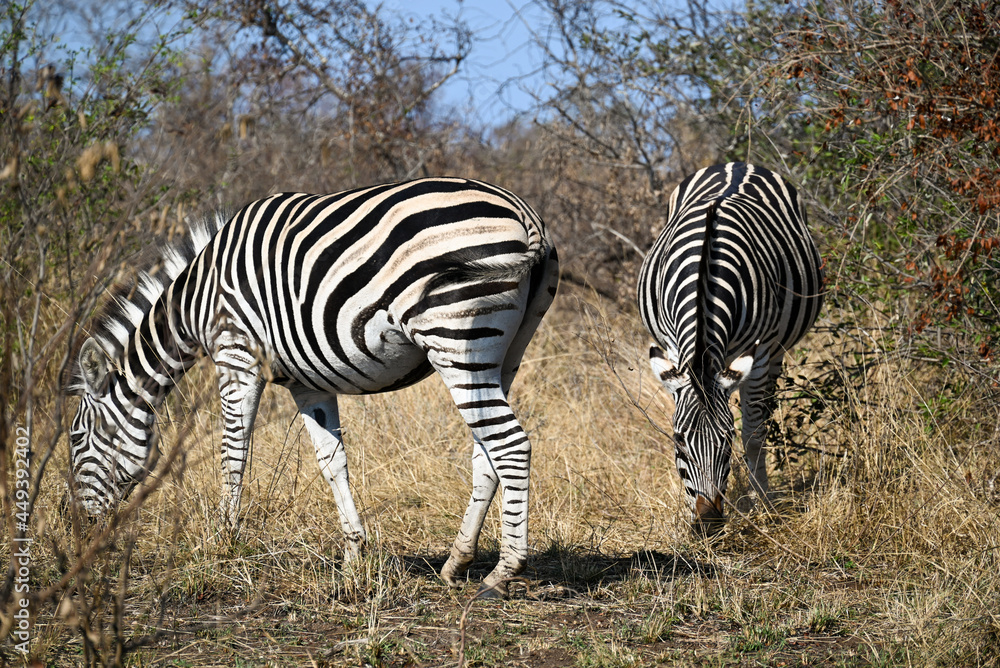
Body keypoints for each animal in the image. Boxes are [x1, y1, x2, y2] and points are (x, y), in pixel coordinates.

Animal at [65, 177, 559, 596]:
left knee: (510, 445)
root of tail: (525, 214)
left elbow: (233, 452)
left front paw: (223, 542)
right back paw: (458, 562)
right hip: (504, 353)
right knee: (487, 452)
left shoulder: (236, 353)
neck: (196, 298)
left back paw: (503, 572)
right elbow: (332, 461)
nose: (81, 533)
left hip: (454, 336)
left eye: (76, 440)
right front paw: (353, 554)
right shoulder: (307, 383)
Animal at [636, 162, 823, 535]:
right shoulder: (674, 347)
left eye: (727, 443)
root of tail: (737, 164)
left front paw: (763, 505)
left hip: (776, 350)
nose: (708, 523)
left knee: (764, 413)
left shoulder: (760, 353)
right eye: (679, 441)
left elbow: (753, 433)